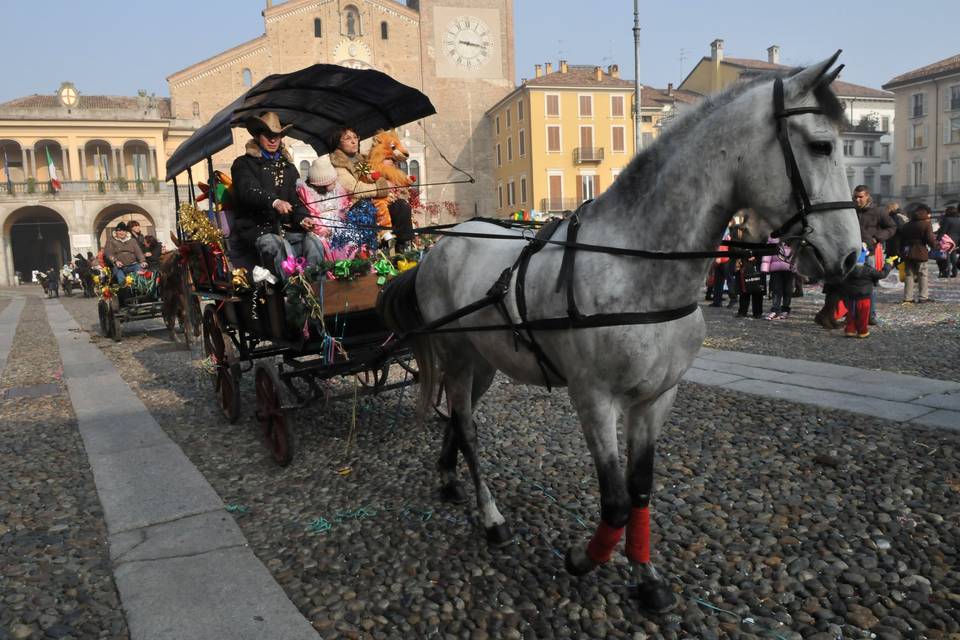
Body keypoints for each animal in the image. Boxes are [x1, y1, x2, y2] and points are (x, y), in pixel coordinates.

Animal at [378, 52, 860, 612]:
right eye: (821, 145)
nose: (850, 257)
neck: (635, 264)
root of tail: (440, 246)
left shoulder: (656, 398)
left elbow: (640, 490)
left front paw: (646, 575)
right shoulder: (594, 399)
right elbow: (613, 501)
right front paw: (583, 558)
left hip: (483, 364)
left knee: (458, 419)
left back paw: (449, 479)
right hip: (456, 357)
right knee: (469, 429)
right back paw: (492, 516)